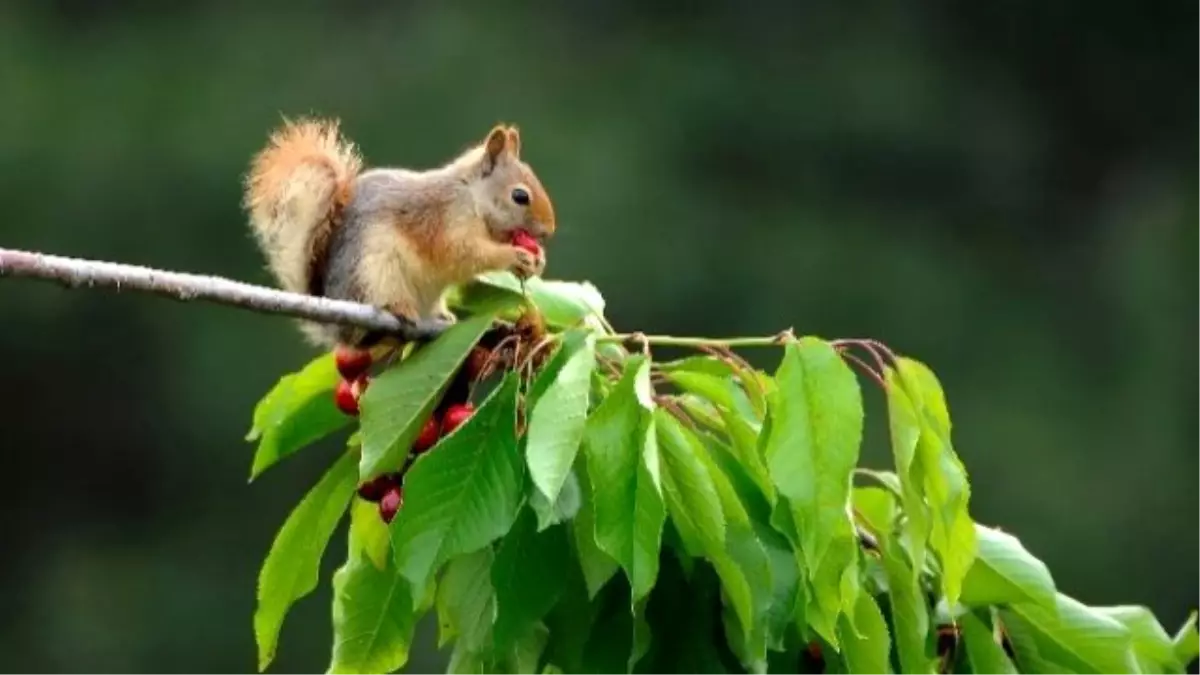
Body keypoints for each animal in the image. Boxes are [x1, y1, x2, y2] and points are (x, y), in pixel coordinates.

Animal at [240, 117, 556, 345]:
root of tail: (337, 329)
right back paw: (398, 309)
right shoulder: (445, 222)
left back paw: (443, 317)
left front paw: (537, 259)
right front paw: (514, 256)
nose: (549, 230)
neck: (470, 195)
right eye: (519, 196)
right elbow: (465, 254)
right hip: (374, 272)